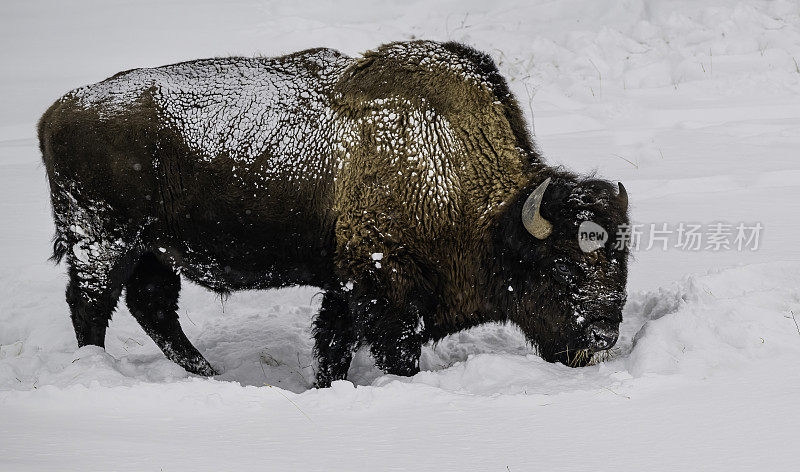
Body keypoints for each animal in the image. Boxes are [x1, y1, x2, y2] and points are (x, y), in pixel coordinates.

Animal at [40, 40, 628, 388]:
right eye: (562, 267)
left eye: (621, 263)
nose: (602, 337)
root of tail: (58, 110)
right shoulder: (385, 288)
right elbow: (390, 350)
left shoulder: (346, 285)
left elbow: (332, 343)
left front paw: (326, 386)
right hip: (104, 242)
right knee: (92, 306)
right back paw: (102, 371)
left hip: (152, 250)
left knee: (152, 306)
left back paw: (209, 374)